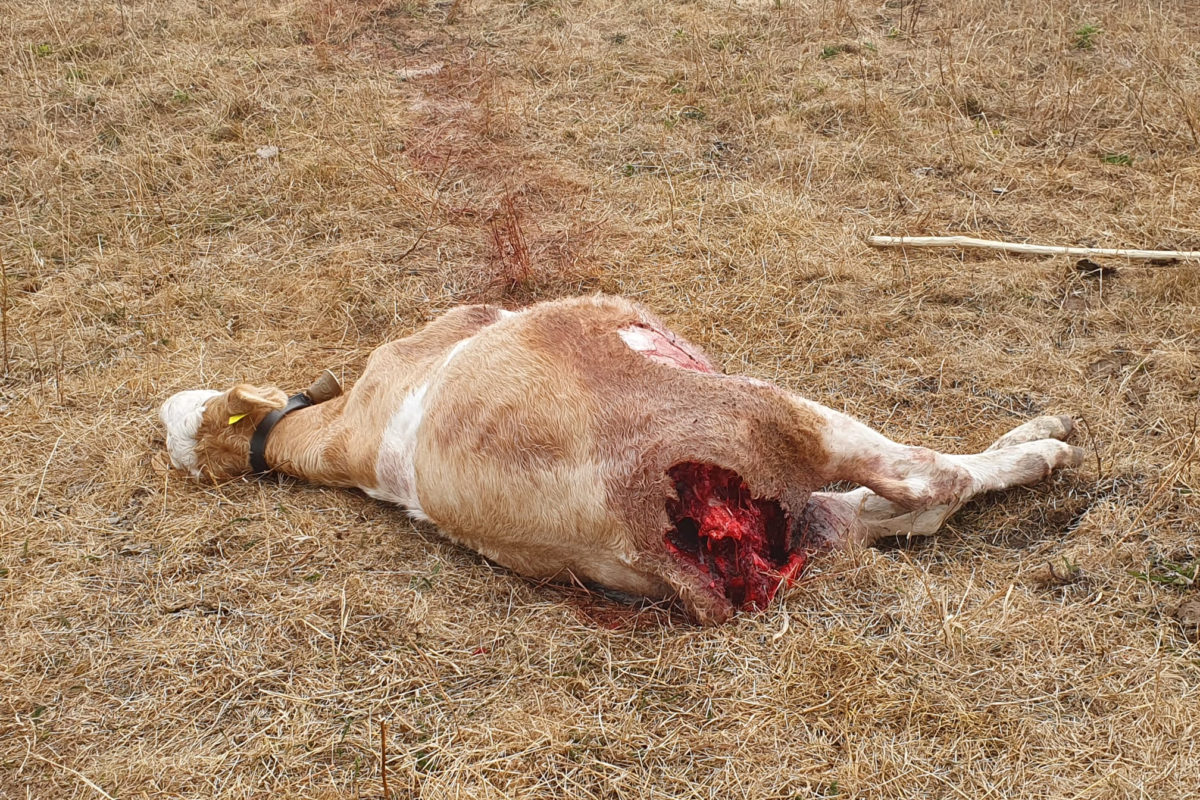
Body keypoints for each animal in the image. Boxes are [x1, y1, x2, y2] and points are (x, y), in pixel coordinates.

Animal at [154, 293, 1084, 623]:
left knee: (889, 508)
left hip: (806, 514)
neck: (342, 434)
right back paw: (1044, 443)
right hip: (772, 412)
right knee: (927, 480)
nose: (164, 411)